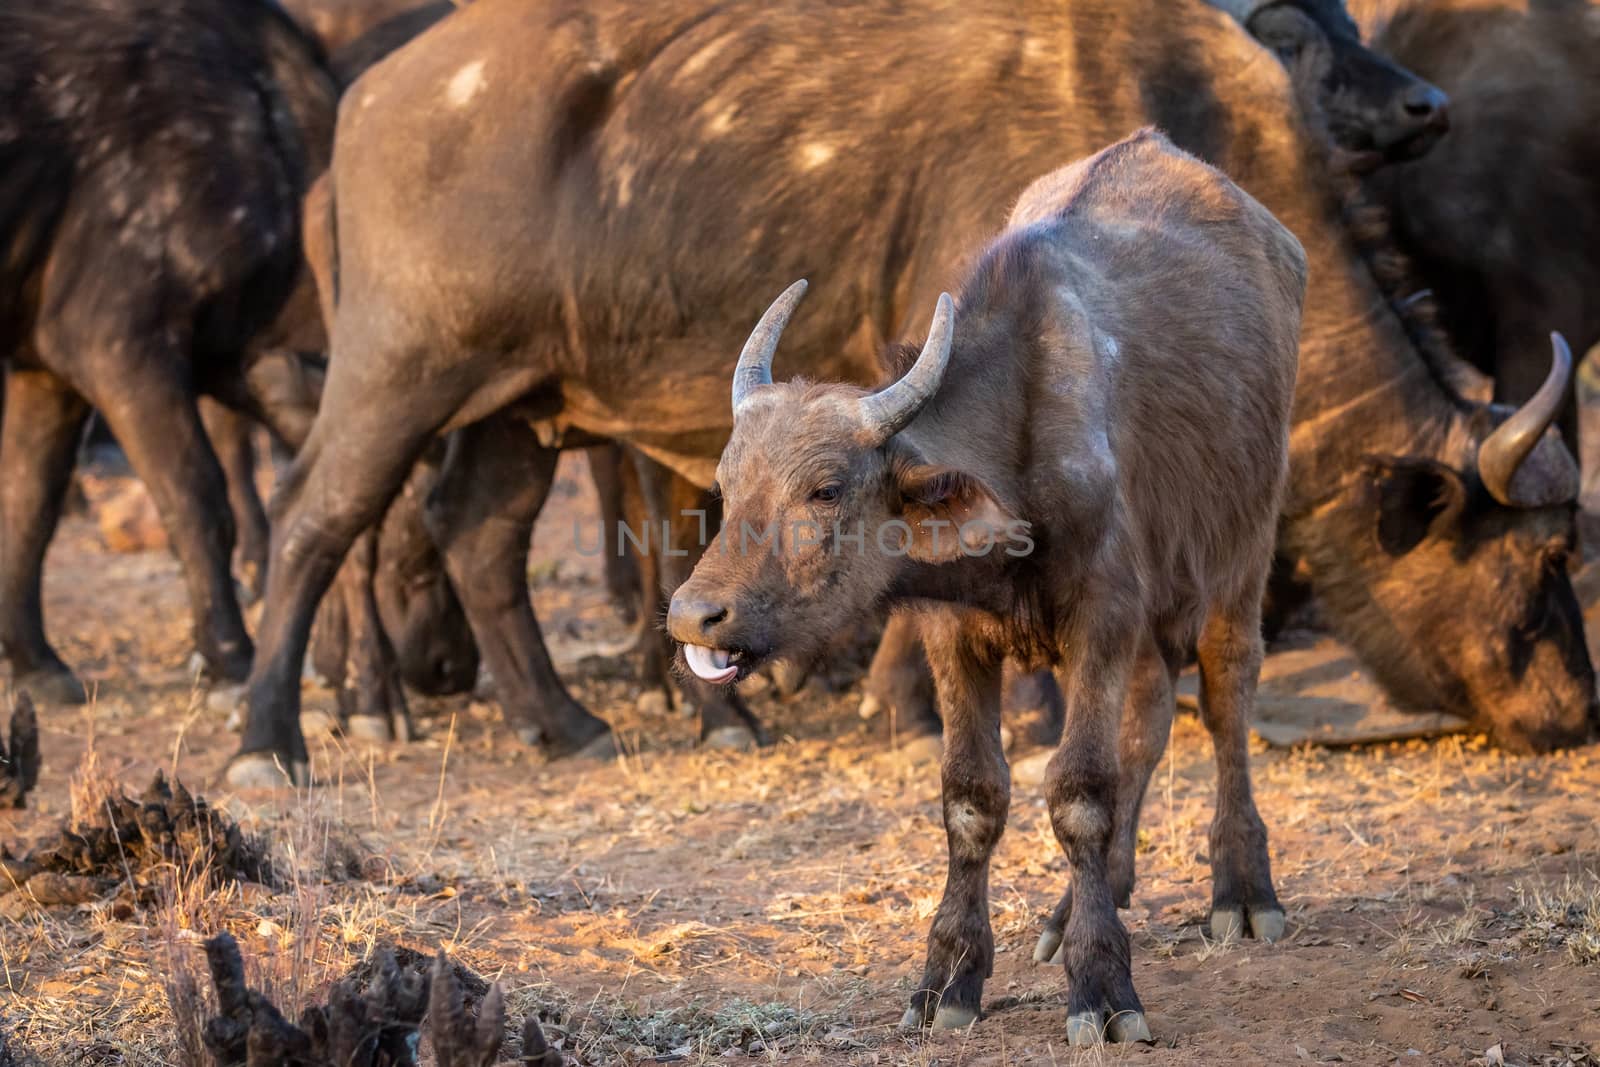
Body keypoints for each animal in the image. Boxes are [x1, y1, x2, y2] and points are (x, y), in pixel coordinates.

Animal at [0, 0, 337, 700]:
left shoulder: (46, 371)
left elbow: (27, 504)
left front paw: (35, 662)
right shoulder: (117, 350)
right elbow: (199, 499)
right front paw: (231, 652)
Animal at [232, 0, 1593, 790]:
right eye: (1534, 562)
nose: (1576, 710)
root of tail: (371, 97)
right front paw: (962, 706)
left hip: (525, 395)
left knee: (476, 534)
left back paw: (570, 721)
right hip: (399, 369)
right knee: (311, 518)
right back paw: (269, 740)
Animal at [668, 129, 1305, 1049]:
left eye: (825, 488)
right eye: (726, 483)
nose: (693, 614)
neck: (1023, 435)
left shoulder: (1103, 616)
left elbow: (1079, 792)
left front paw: (1103, 984)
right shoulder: (955, 631)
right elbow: (972, 795)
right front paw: (950, 976)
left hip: (1242, 544)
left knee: (1225, 692)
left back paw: (1243, 889)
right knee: (1149, 718)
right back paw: (1086, 901)